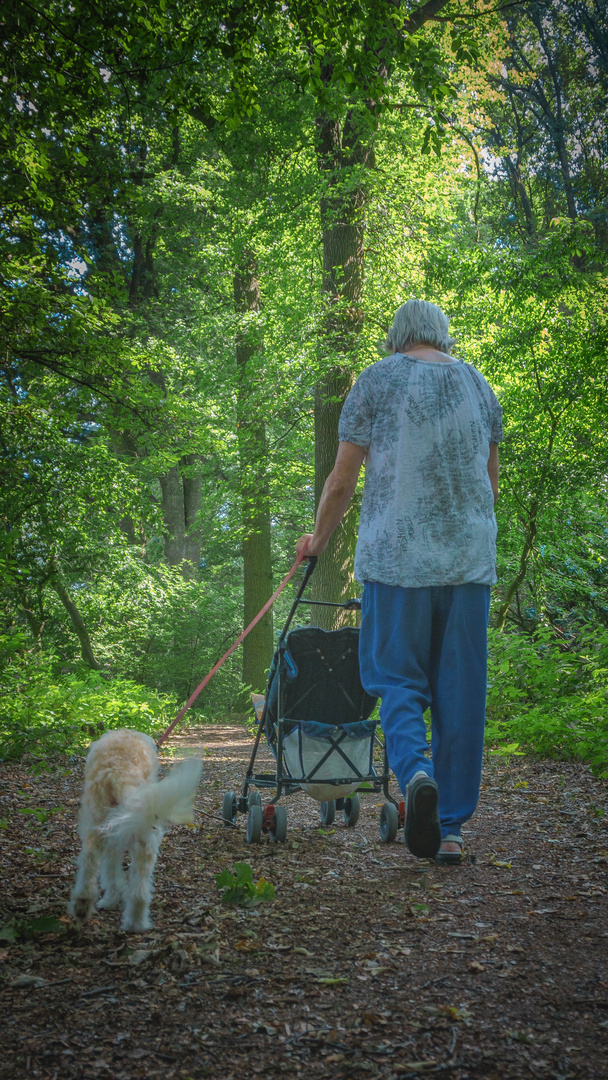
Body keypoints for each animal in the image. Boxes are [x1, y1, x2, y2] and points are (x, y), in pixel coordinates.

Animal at [68, 730, 201, 933]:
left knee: (91, 864)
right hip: (142, 837)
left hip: (102, 829)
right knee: (138, 887)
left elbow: (111, 872)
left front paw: (110, 899)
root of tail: (118, 772)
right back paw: (133, 922)